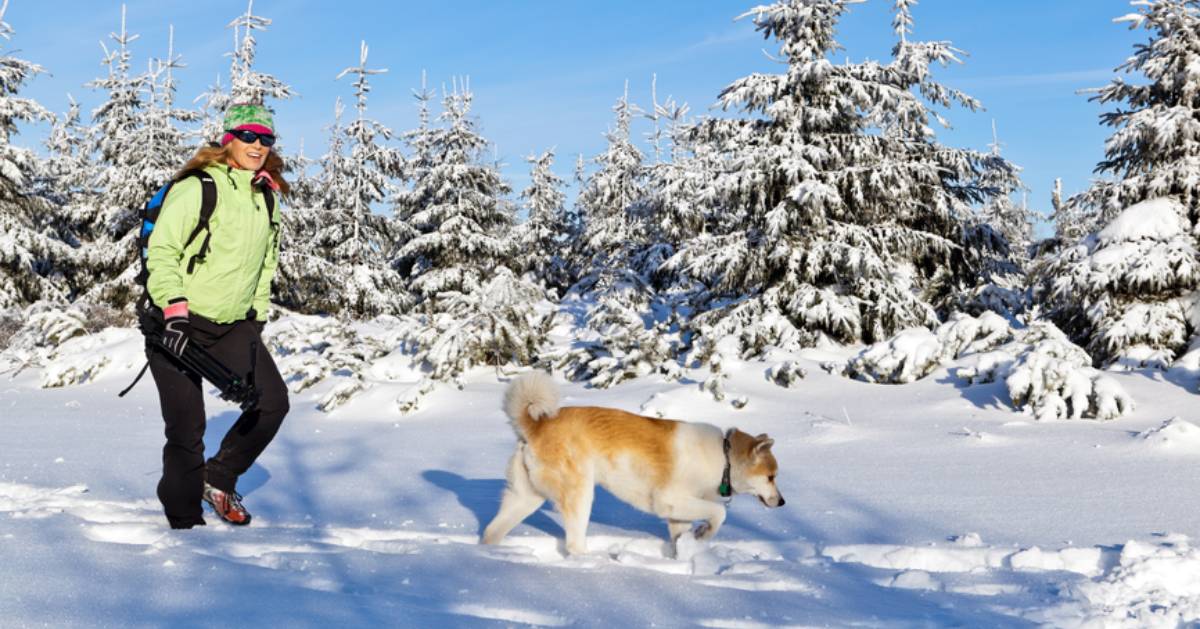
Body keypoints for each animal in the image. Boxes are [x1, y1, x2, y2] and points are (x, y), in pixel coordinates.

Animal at [482, 374, 782, 554]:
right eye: (771, 477)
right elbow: (719, 513)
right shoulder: (669, 500)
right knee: (574, 544)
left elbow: (682, 539)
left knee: (491, 532)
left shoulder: (675, 513)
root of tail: (535, 426)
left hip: (525, 498)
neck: (724, 458)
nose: (782, 503)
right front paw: (704, 533)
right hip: (580, 495)